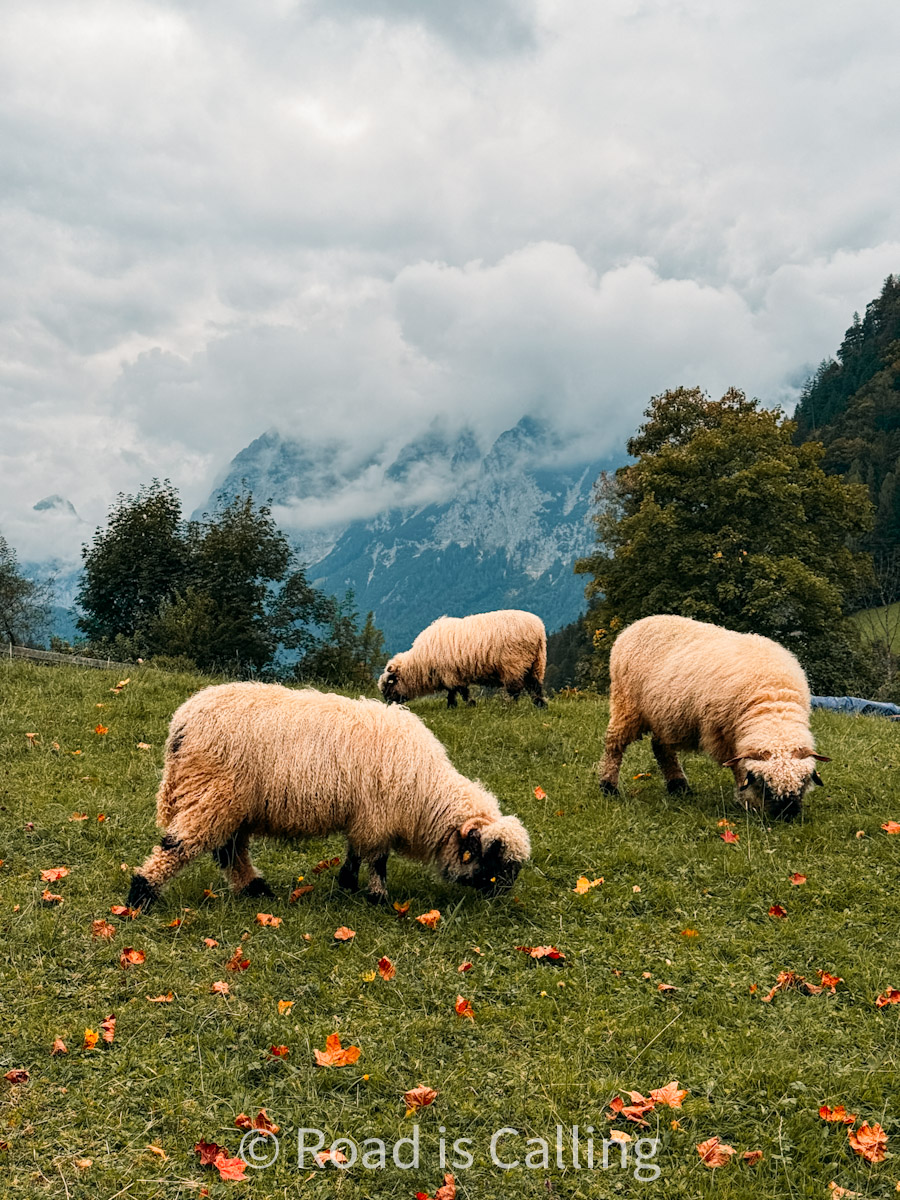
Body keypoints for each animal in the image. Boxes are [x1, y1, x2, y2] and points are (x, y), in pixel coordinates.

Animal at [126, 682, 531, 911]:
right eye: (494, 860)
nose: (501, 900)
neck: (426, 792)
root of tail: (182, 722)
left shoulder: (365, 817)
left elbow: (356, 853)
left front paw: (347, 885)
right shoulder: (378, 817)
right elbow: (377, 860)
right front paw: (377, 898)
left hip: (231, 802)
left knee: (230, 850)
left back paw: (255, 890)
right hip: (214, 792)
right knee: (179, 844)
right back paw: (141, 895)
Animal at [378, 609, 548, 709]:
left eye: (390, 682)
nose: (387, 702)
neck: (420, 663)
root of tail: (538, 629)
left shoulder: (450, 673)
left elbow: (460, 691)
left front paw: (468, 704)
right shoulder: (450, 674)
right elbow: (452, 691)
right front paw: (452, 706)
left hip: (514, 663)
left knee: (516, 689)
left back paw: (510, 706)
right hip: (536, 663)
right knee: (535, 686)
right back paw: (540, 704)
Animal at [598, 615, 830, 819]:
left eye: (803, 782)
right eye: (765, 784)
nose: (788, 816)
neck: (773, 702)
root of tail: (635, 624)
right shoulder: (724, 736)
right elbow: (739, 769)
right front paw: (746, 802)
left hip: (664, 716)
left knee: (661, 747)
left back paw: (678, 786)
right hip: (626, 704)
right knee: (614, 744)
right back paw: (608, 786)